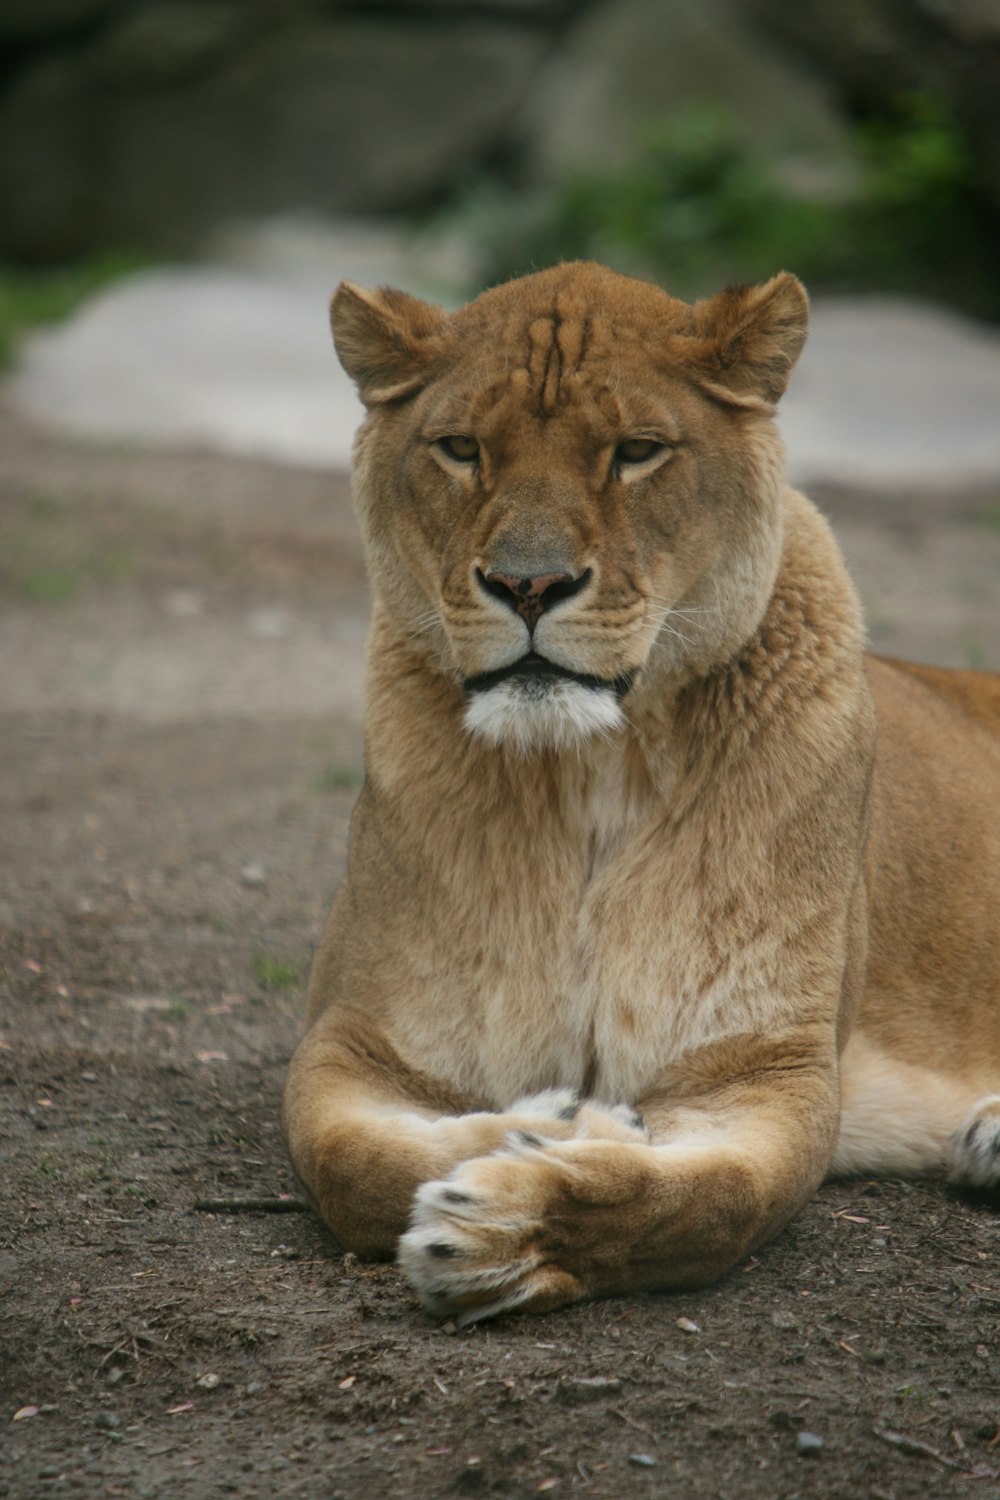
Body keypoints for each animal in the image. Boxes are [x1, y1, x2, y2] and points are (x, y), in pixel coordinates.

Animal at [281, 261, 1000, 1326]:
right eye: (460, 449)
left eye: (636, 453)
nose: (528, 585)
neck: (587, 772)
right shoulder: (357, 1033)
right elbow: (345, 1161)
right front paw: (551, 1124)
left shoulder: (768, 1066)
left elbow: (707, 1201)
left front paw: (516, 1225)